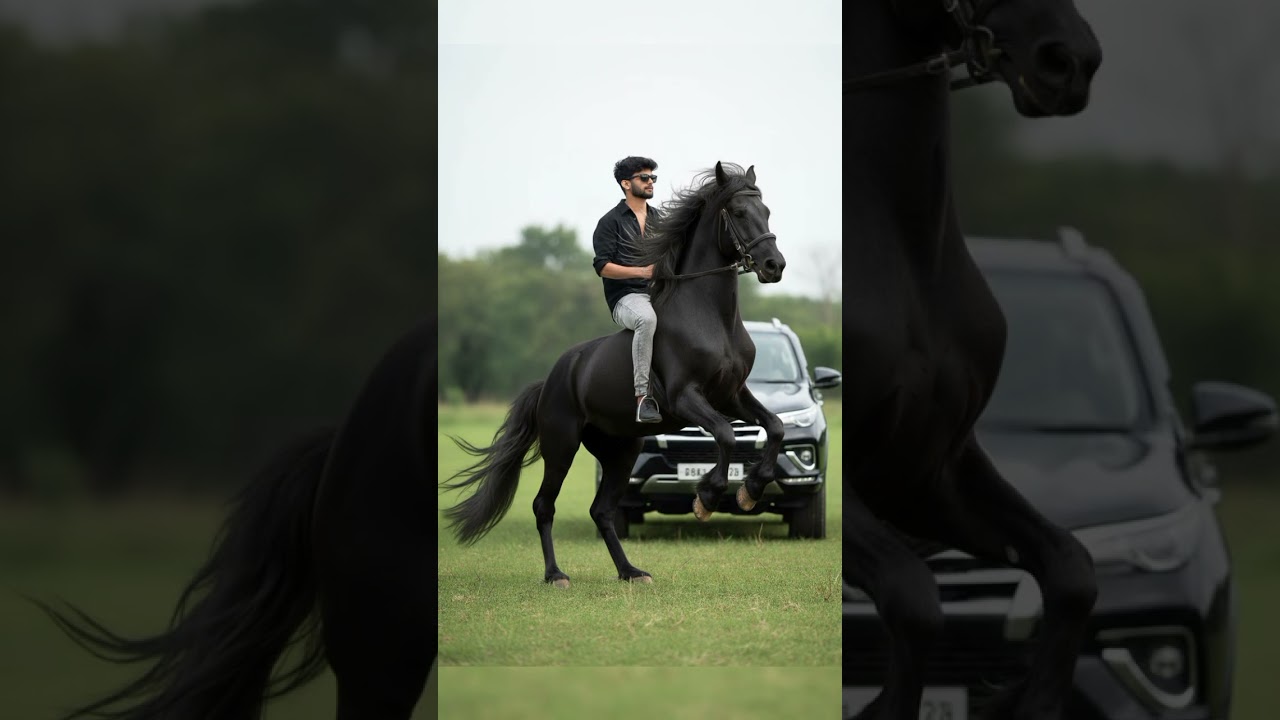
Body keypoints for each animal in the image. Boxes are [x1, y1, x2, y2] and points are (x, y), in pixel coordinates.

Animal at [440, 161, 786, 587]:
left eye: (765, 212)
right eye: (738, 212)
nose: (774, 266)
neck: (711, 319)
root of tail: (552, 378)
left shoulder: (732, 395)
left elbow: (775, 426)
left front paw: (750, 490)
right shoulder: (685, 398)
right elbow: (724, 434)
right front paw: (706, 499)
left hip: (621, 450)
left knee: (601, 511)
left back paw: (631, 572)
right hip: (562, 446)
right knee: (544, 505)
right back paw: (556, 575)